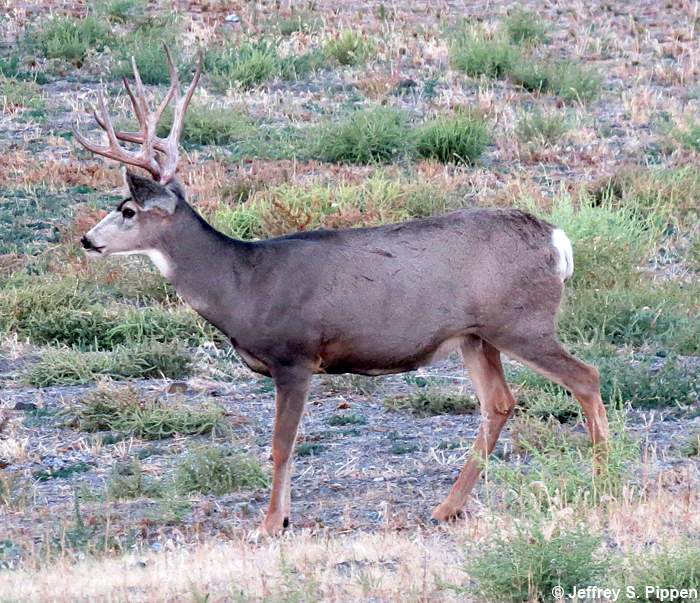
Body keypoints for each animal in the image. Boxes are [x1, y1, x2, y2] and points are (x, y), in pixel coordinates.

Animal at [74, 49, 610, 536]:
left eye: (127, 210)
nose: (87, 240)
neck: (243, 283)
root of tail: (558, 241)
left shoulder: (294, 356)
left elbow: (281, 445)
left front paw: (271, 524)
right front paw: (282, 517)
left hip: (521, 321)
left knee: (586, 376)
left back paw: (602, 480)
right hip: (477, 336)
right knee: (499, 403)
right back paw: (446, 508)